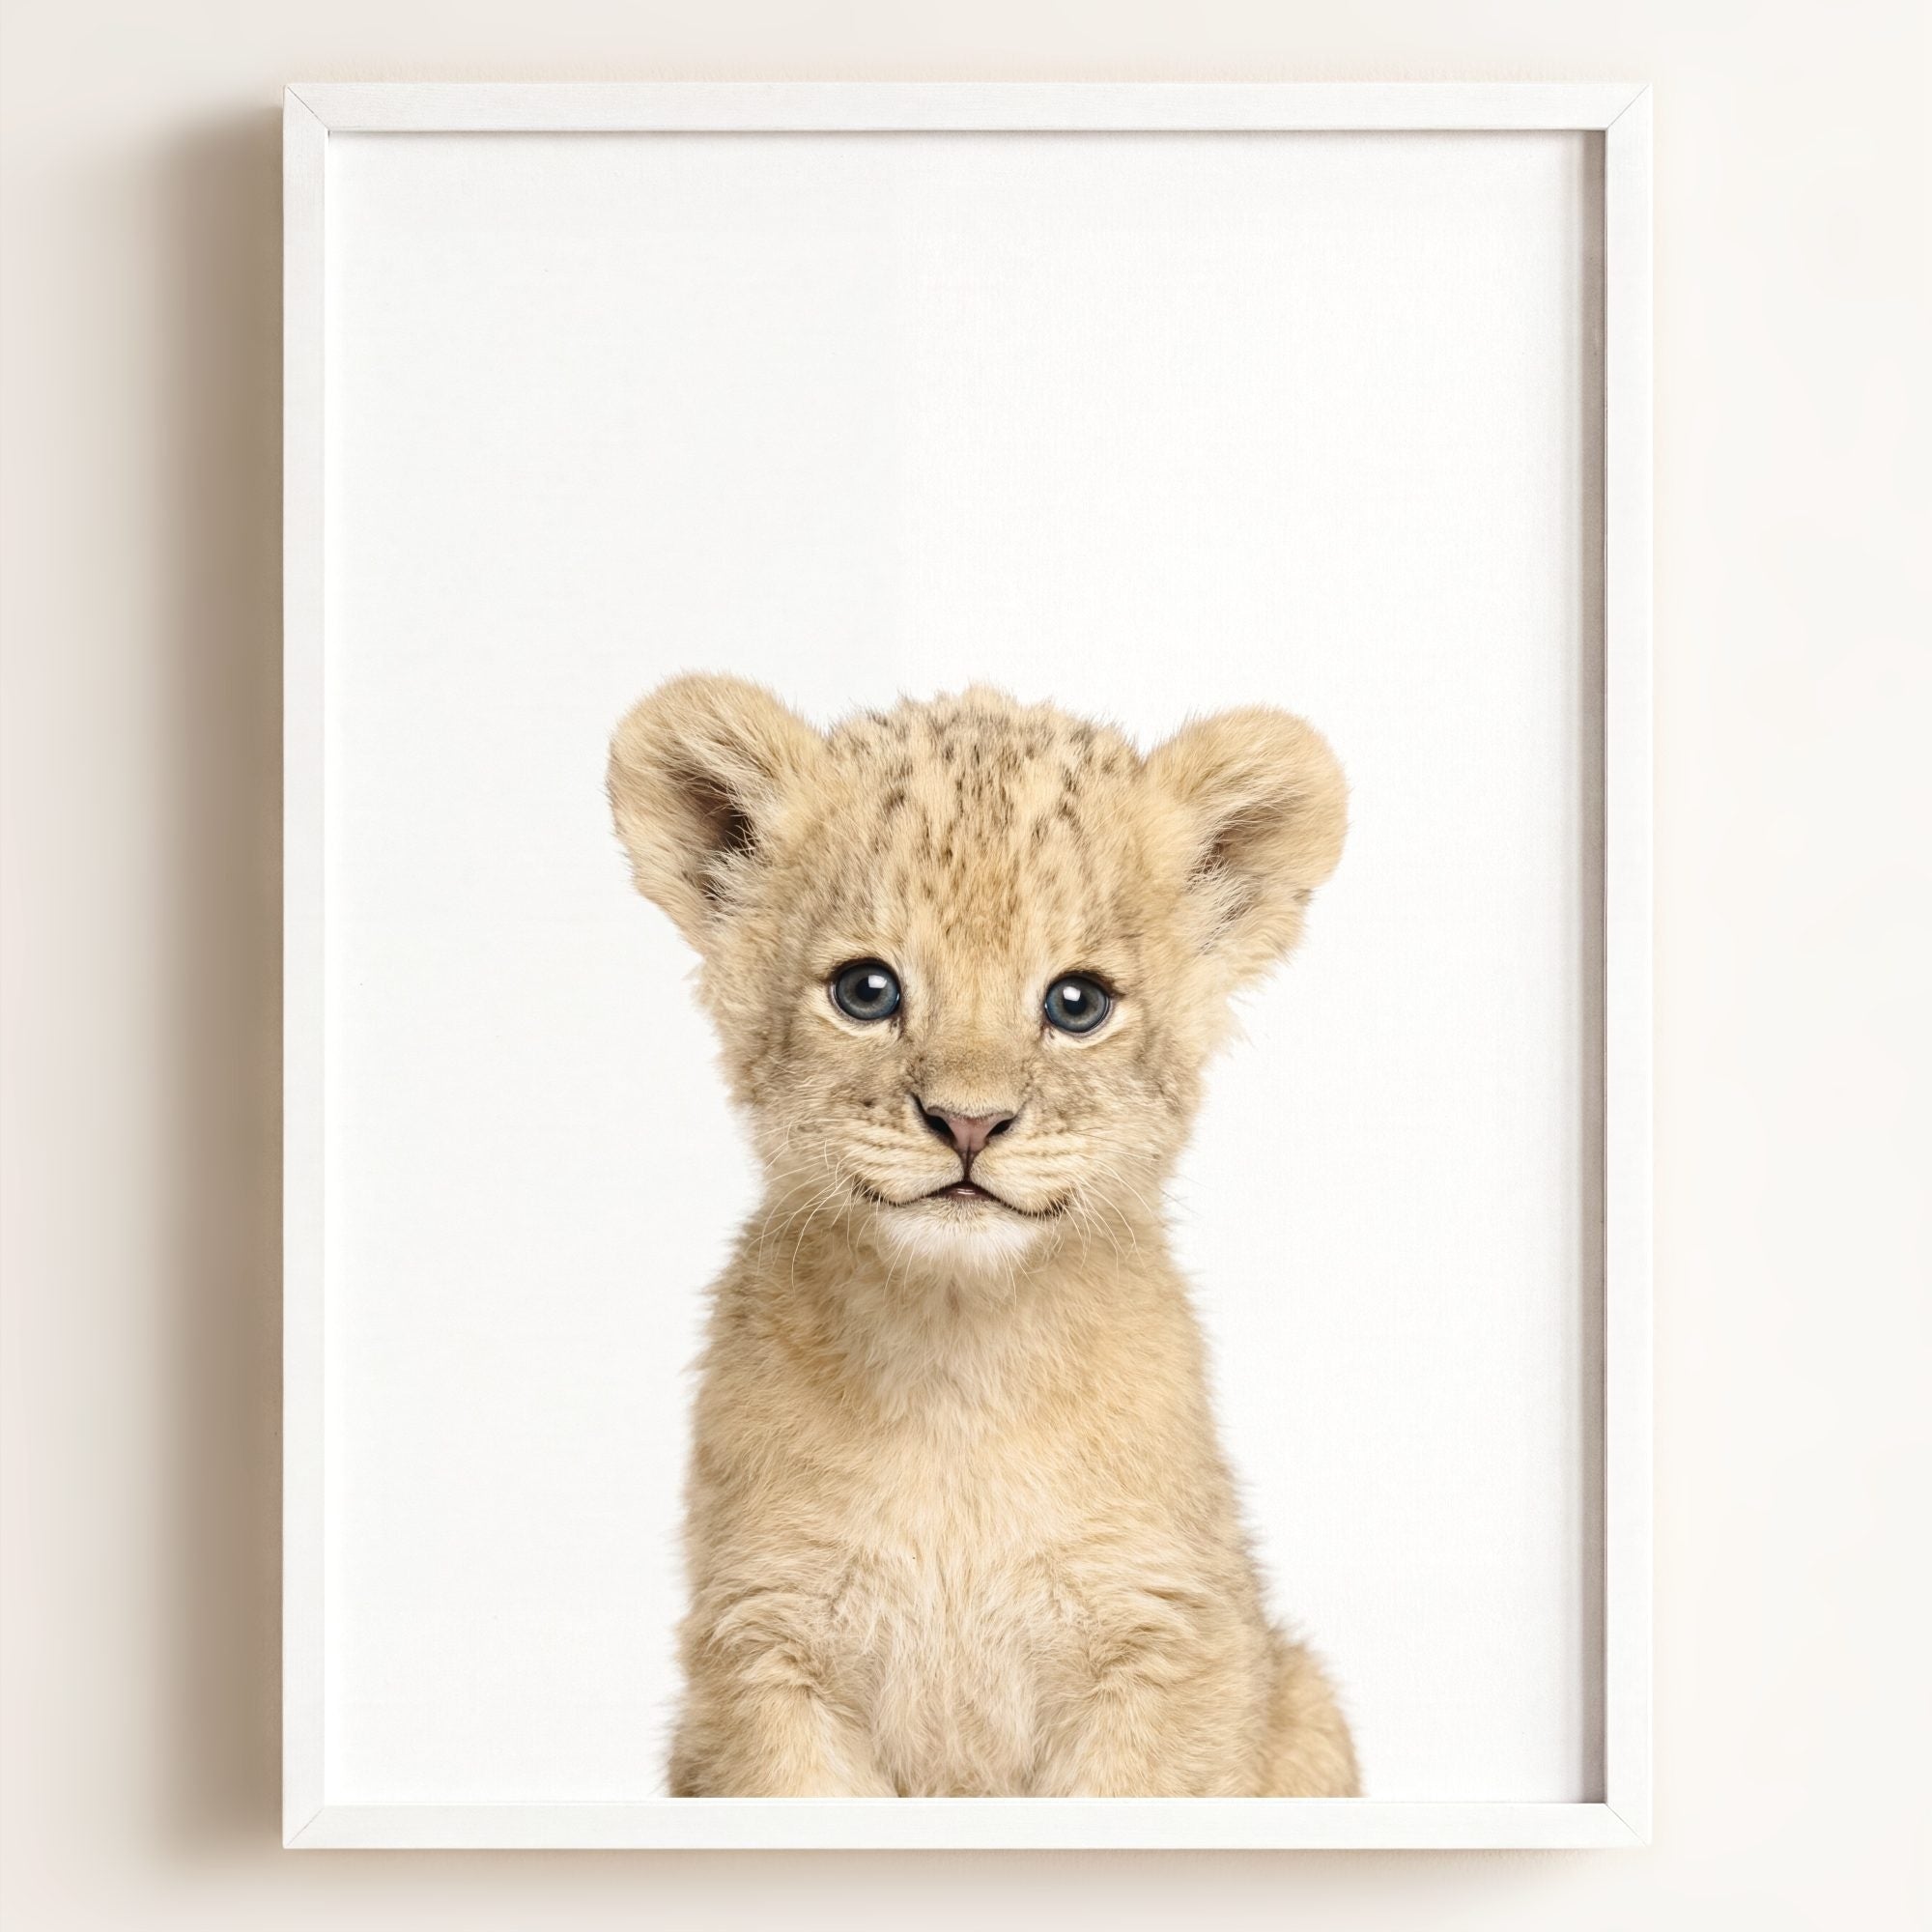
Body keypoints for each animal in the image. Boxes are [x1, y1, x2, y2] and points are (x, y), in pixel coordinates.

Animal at [608, 676, 1358, 1798]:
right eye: (866, 991)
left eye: (1077, 1002)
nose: (967, 1122)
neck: (957, 1366)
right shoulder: (763, 1649)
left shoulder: (1170, 1642)